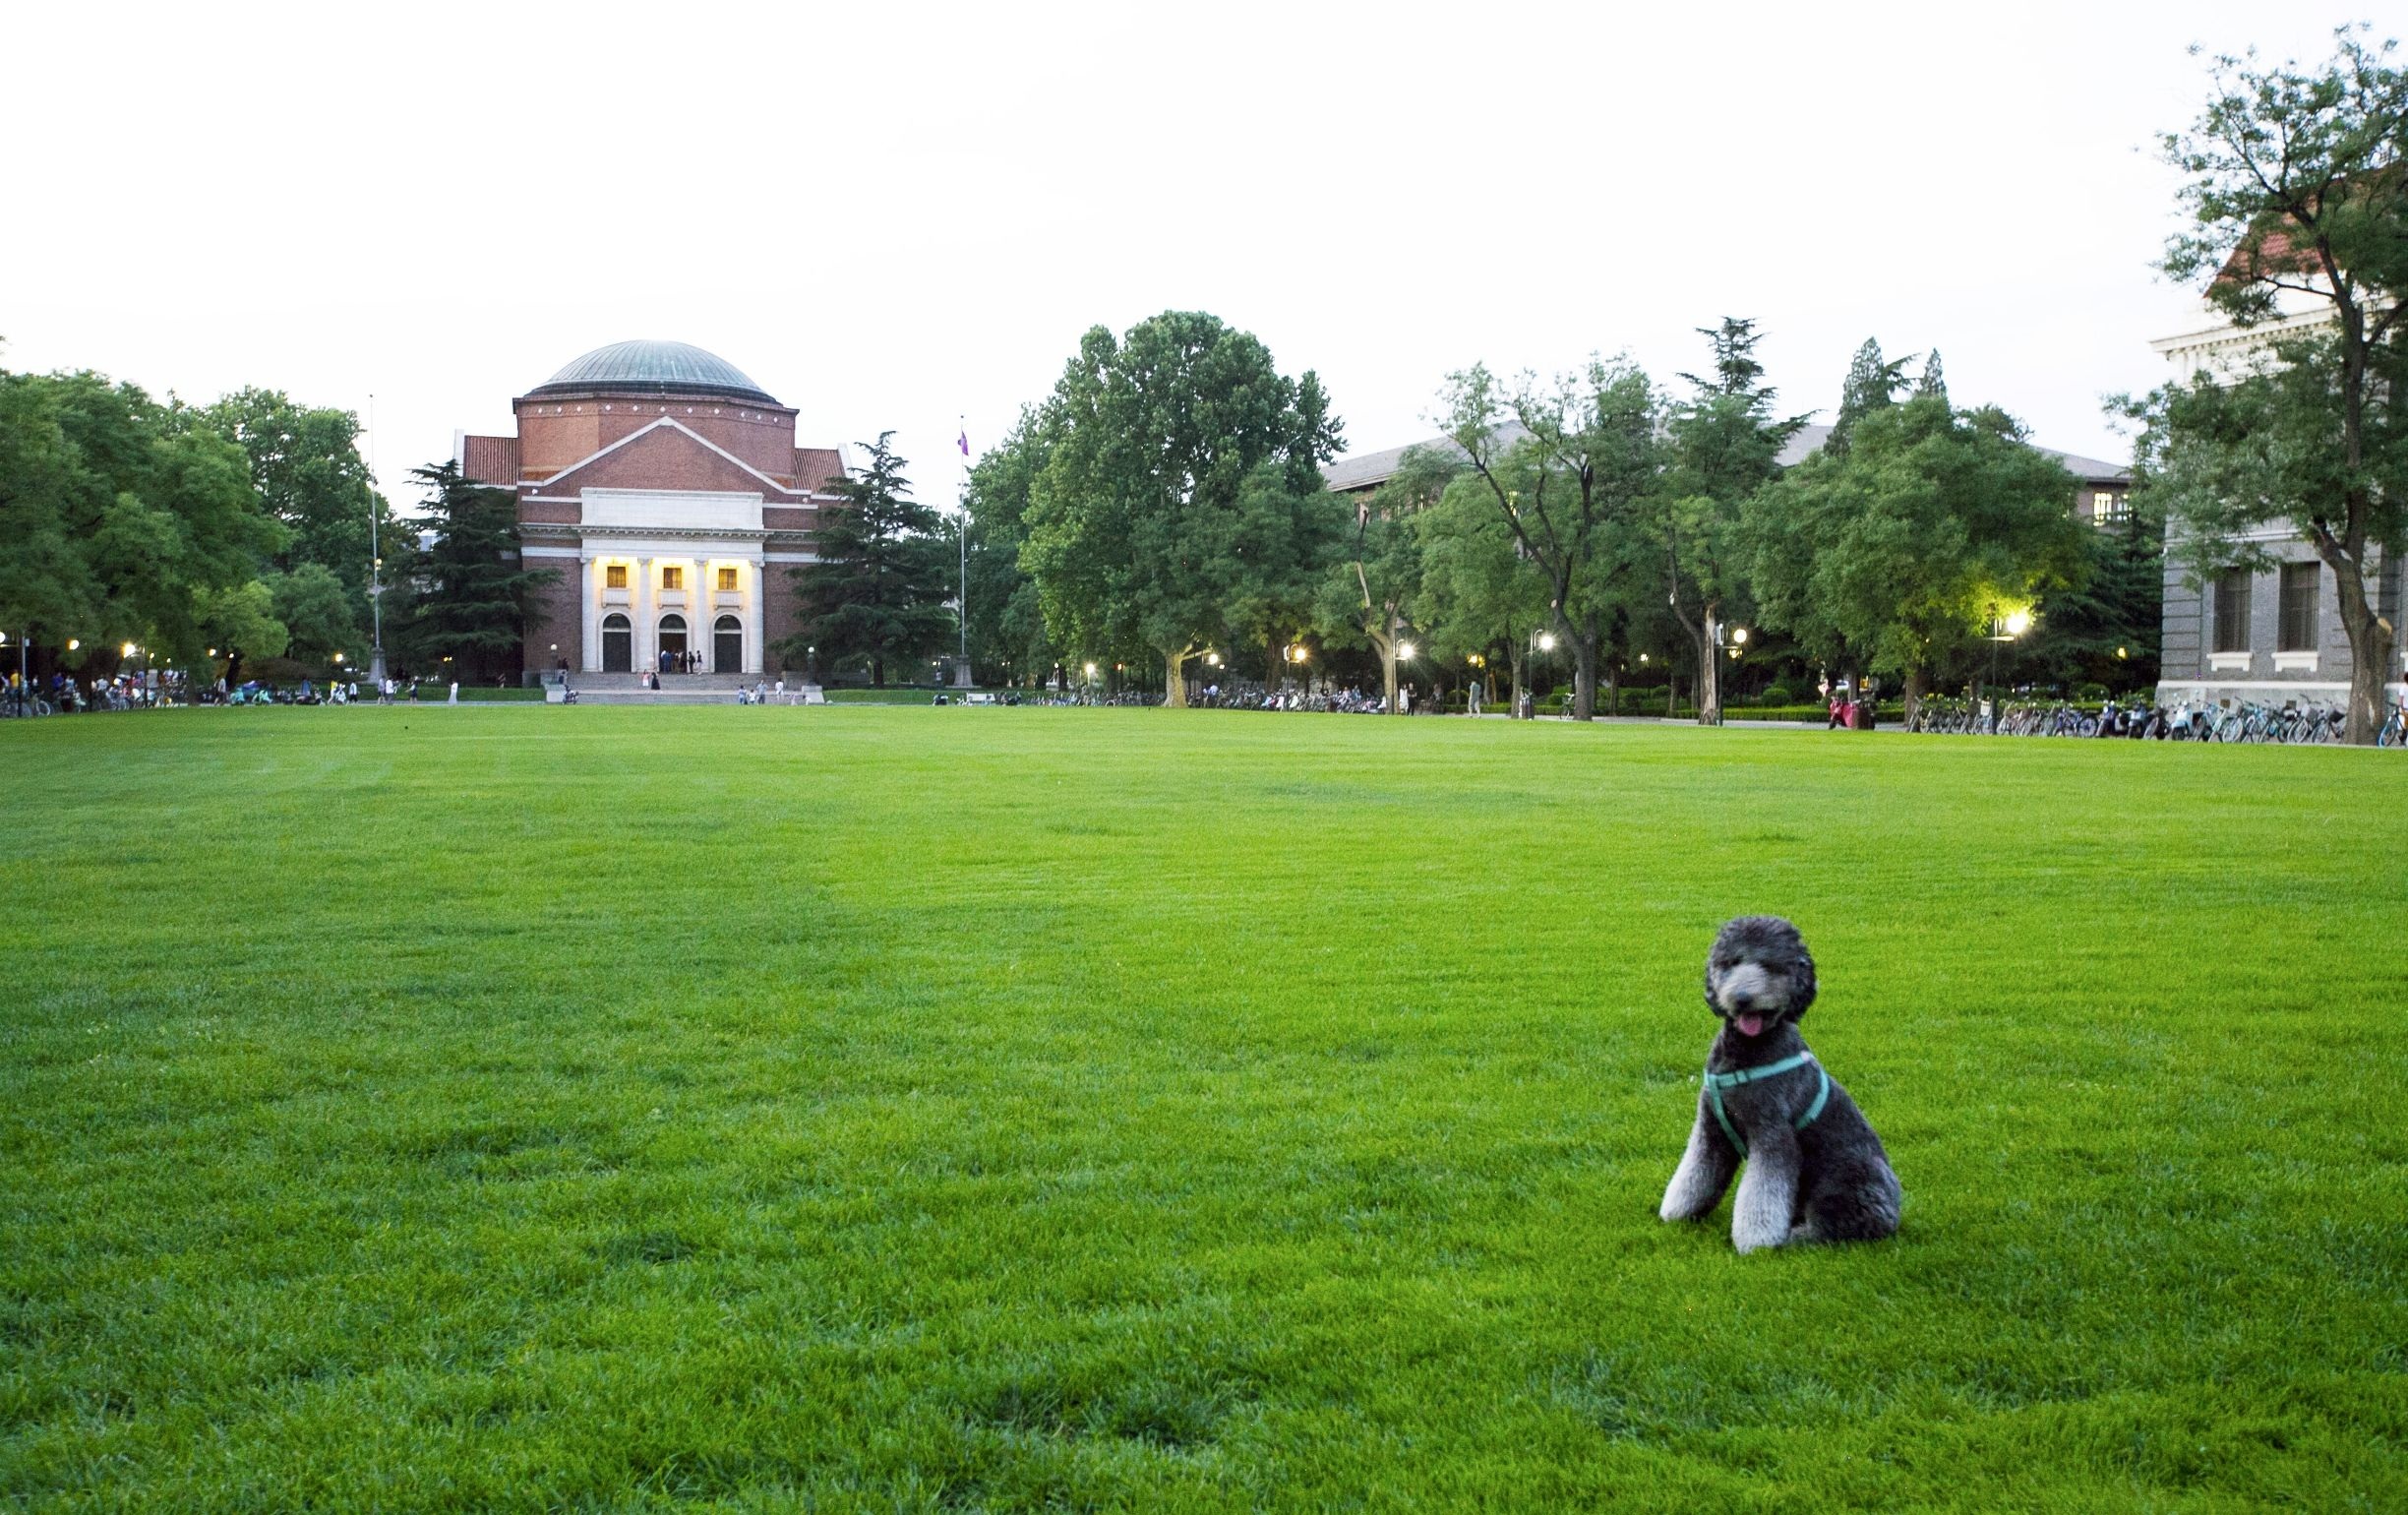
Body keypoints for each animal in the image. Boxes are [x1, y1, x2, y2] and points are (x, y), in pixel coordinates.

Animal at [1656, 915, 1897, 1242]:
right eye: (1730, 962)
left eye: (1771, 966)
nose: (1742, 999)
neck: (1744, 1052)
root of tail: (1895, 1212)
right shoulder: (1711, 1130)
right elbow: (1695, 1174)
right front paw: (1677, 1214)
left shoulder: (1772, 1133)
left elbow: (1762, 1192)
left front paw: (1756, 1242)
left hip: (1843, 1176)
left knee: (1838, 1226)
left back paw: (1794, 1238)